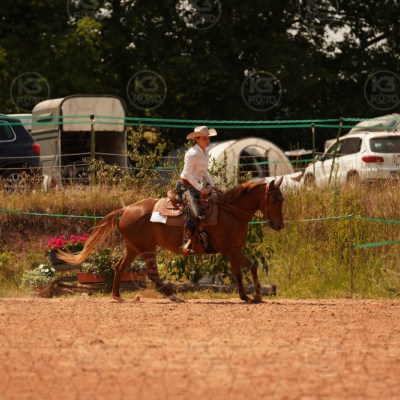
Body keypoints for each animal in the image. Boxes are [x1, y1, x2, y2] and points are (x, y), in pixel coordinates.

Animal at [58, 177, 284, 303]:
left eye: (282, 199)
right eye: (273, 199)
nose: (279, 226)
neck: (231, 213)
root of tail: (126, 209)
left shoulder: (234, 251)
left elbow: (238, 273)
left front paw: (245, 297)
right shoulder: (231, 250)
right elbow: (252, 266)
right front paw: (257, 296)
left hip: (133, 249)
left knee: (119, 267)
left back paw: (117, 297)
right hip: (147, 250)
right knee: (153, 275)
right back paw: (174, 297)